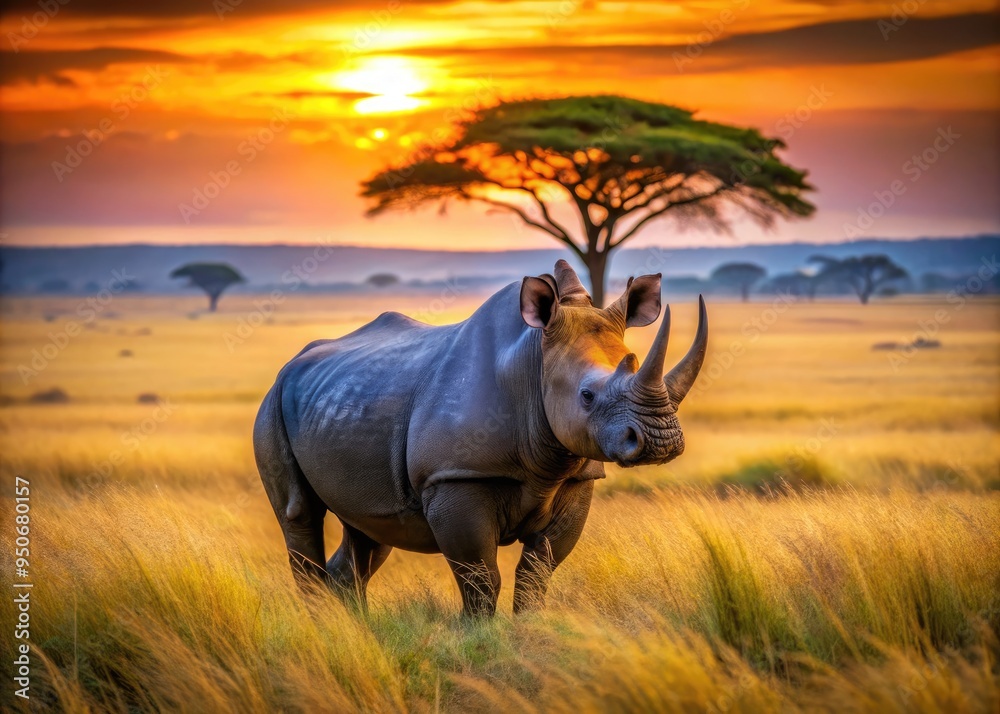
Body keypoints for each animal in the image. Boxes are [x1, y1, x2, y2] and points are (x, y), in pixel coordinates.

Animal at [254, 260, 707, 616]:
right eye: (586, 396)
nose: (661, 441)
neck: (532, 363)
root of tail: (293, 362)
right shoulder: (455, 477)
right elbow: (481, 579)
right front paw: (480, 640)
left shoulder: (577, 478)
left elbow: (536, 574)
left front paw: (529, 637)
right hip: (273, 401)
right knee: (300, 515)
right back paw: (324, 625)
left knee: (369, 527)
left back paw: (354, 628)